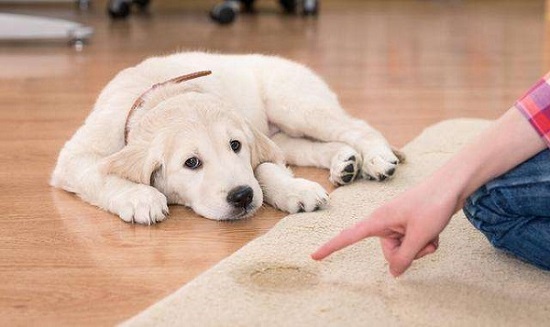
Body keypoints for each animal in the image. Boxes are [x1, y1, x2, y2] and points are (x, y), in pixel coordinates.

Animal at [51, 52, 404, 226]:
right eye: (191, 162)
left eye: (235, 146)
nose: (242, 196)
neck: (163, 94)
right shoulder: (75, 157)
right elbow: (101, 173)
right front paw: (140, 197)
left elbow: (264, 169)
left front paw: (294, 190)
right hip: (284, 132)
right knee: (307, 147)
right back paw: (345, 162)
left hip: (294, 104)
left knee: (357, 126)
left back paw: (377, 159)